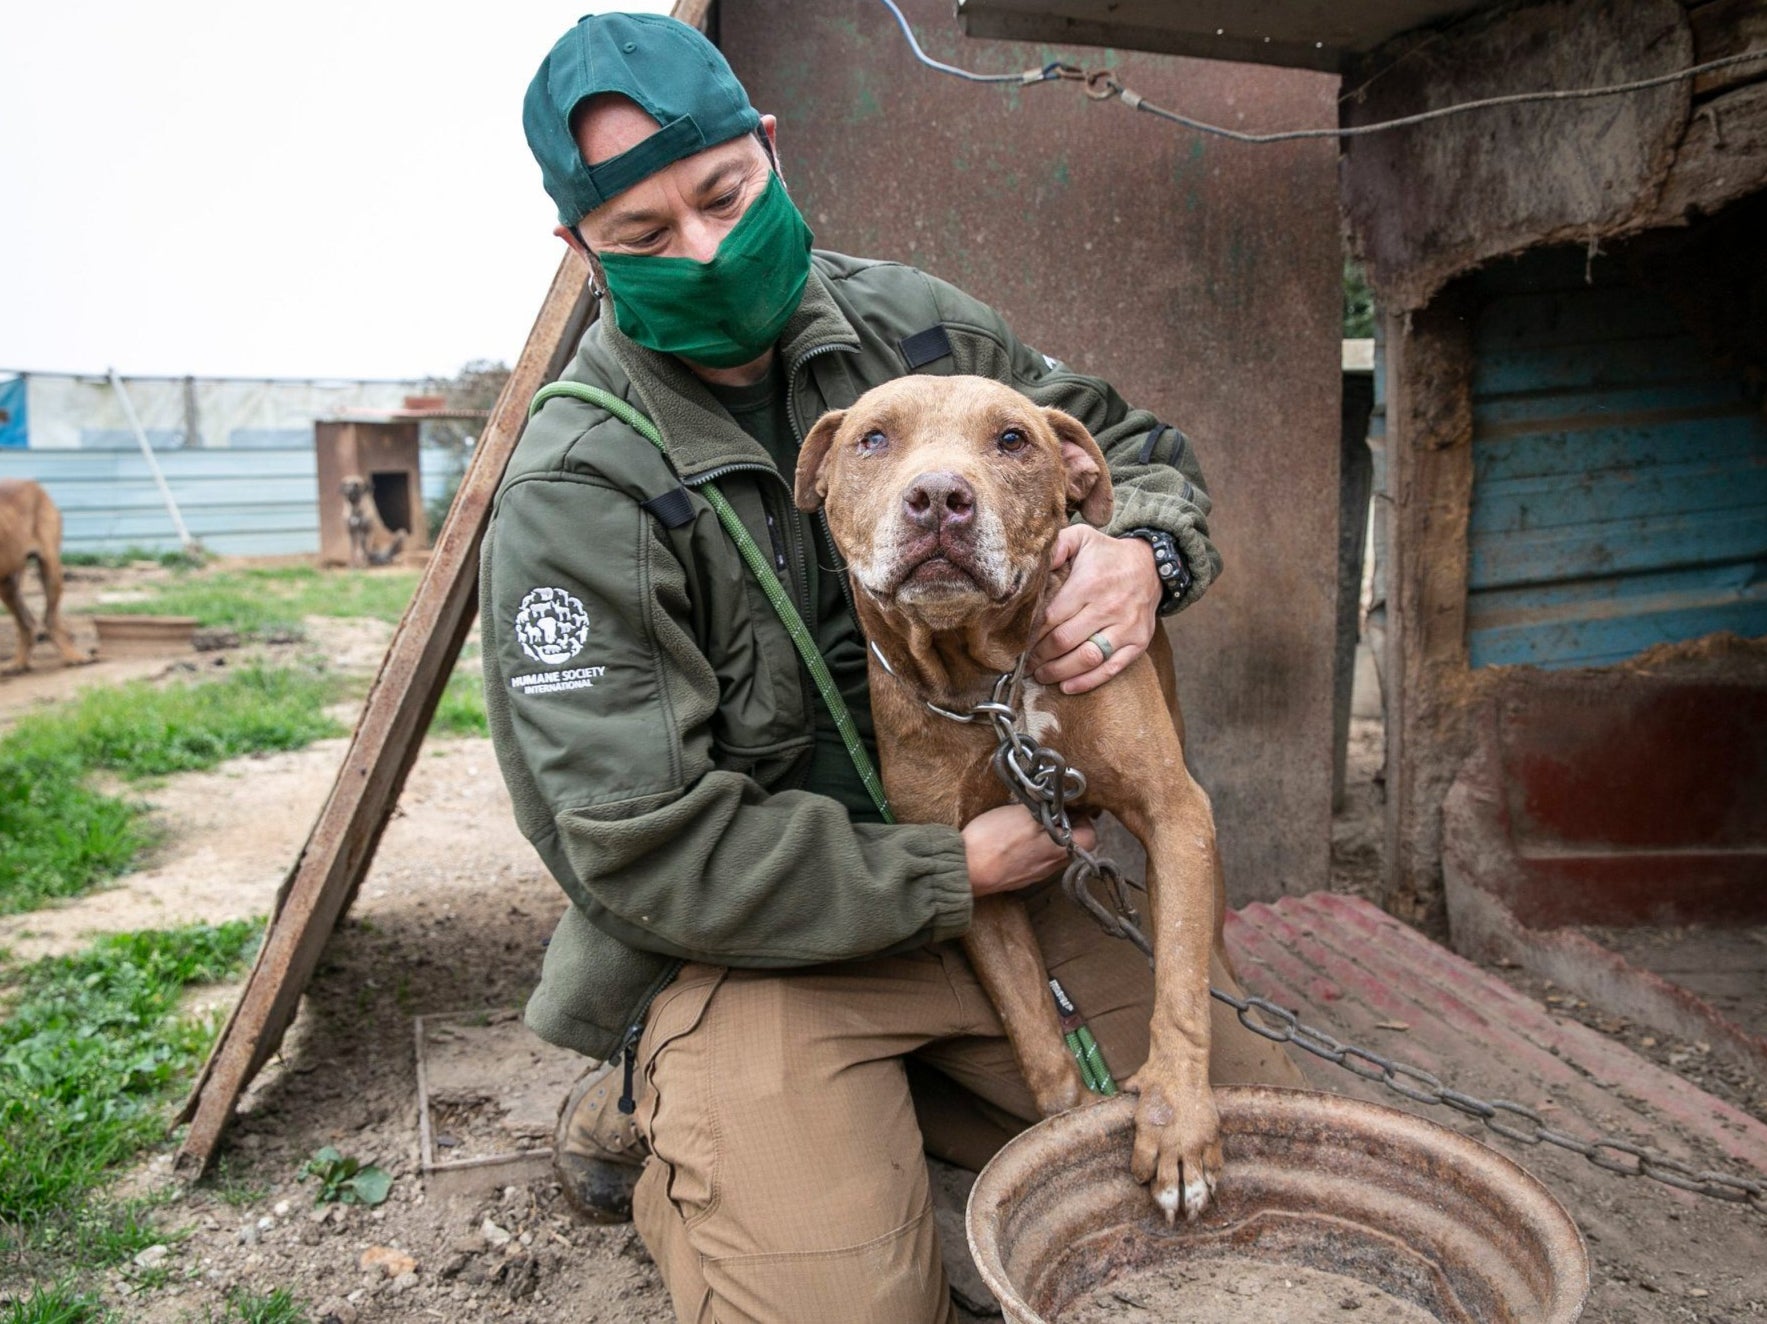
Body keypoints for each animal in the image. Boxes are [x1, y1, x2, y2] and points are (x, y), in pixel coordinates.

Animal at [802, 371, 1229, 1216]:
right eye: (873, 438)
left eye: (1011, 440)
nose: (938, 497)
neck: (989, 683)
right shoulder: (977, 873)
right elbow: (1032, 1024)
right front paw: (1066, 1130)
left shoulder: (1172, 814)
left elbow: (1178, 986)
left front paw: (1177, 1123)